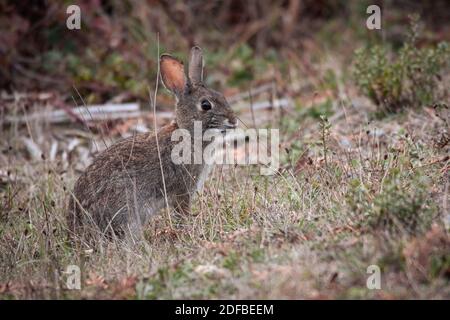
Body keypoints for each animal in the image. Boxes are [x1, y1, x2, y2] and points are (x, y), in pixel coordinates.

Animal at [67, 46, 236, 241]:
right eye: (206, 105)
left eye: (222, 96)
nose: (233, 121)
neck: (189, 134)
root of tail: (76, 229)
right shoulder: (183, 190)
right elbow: (182, 211)